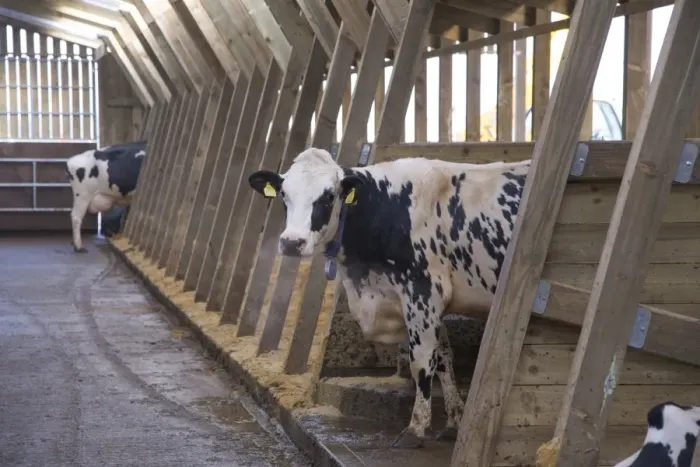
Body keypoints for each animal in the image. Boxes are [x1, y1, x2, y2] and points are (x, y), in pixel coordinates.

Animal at [247, 147, 529, 448]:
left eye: (329, 196)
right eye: (284, 194)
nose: (292, 242)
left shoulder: (422, 293)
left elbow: (422, 361)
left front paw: (416, 428)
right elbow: (443, 356)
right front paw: (453, 421)